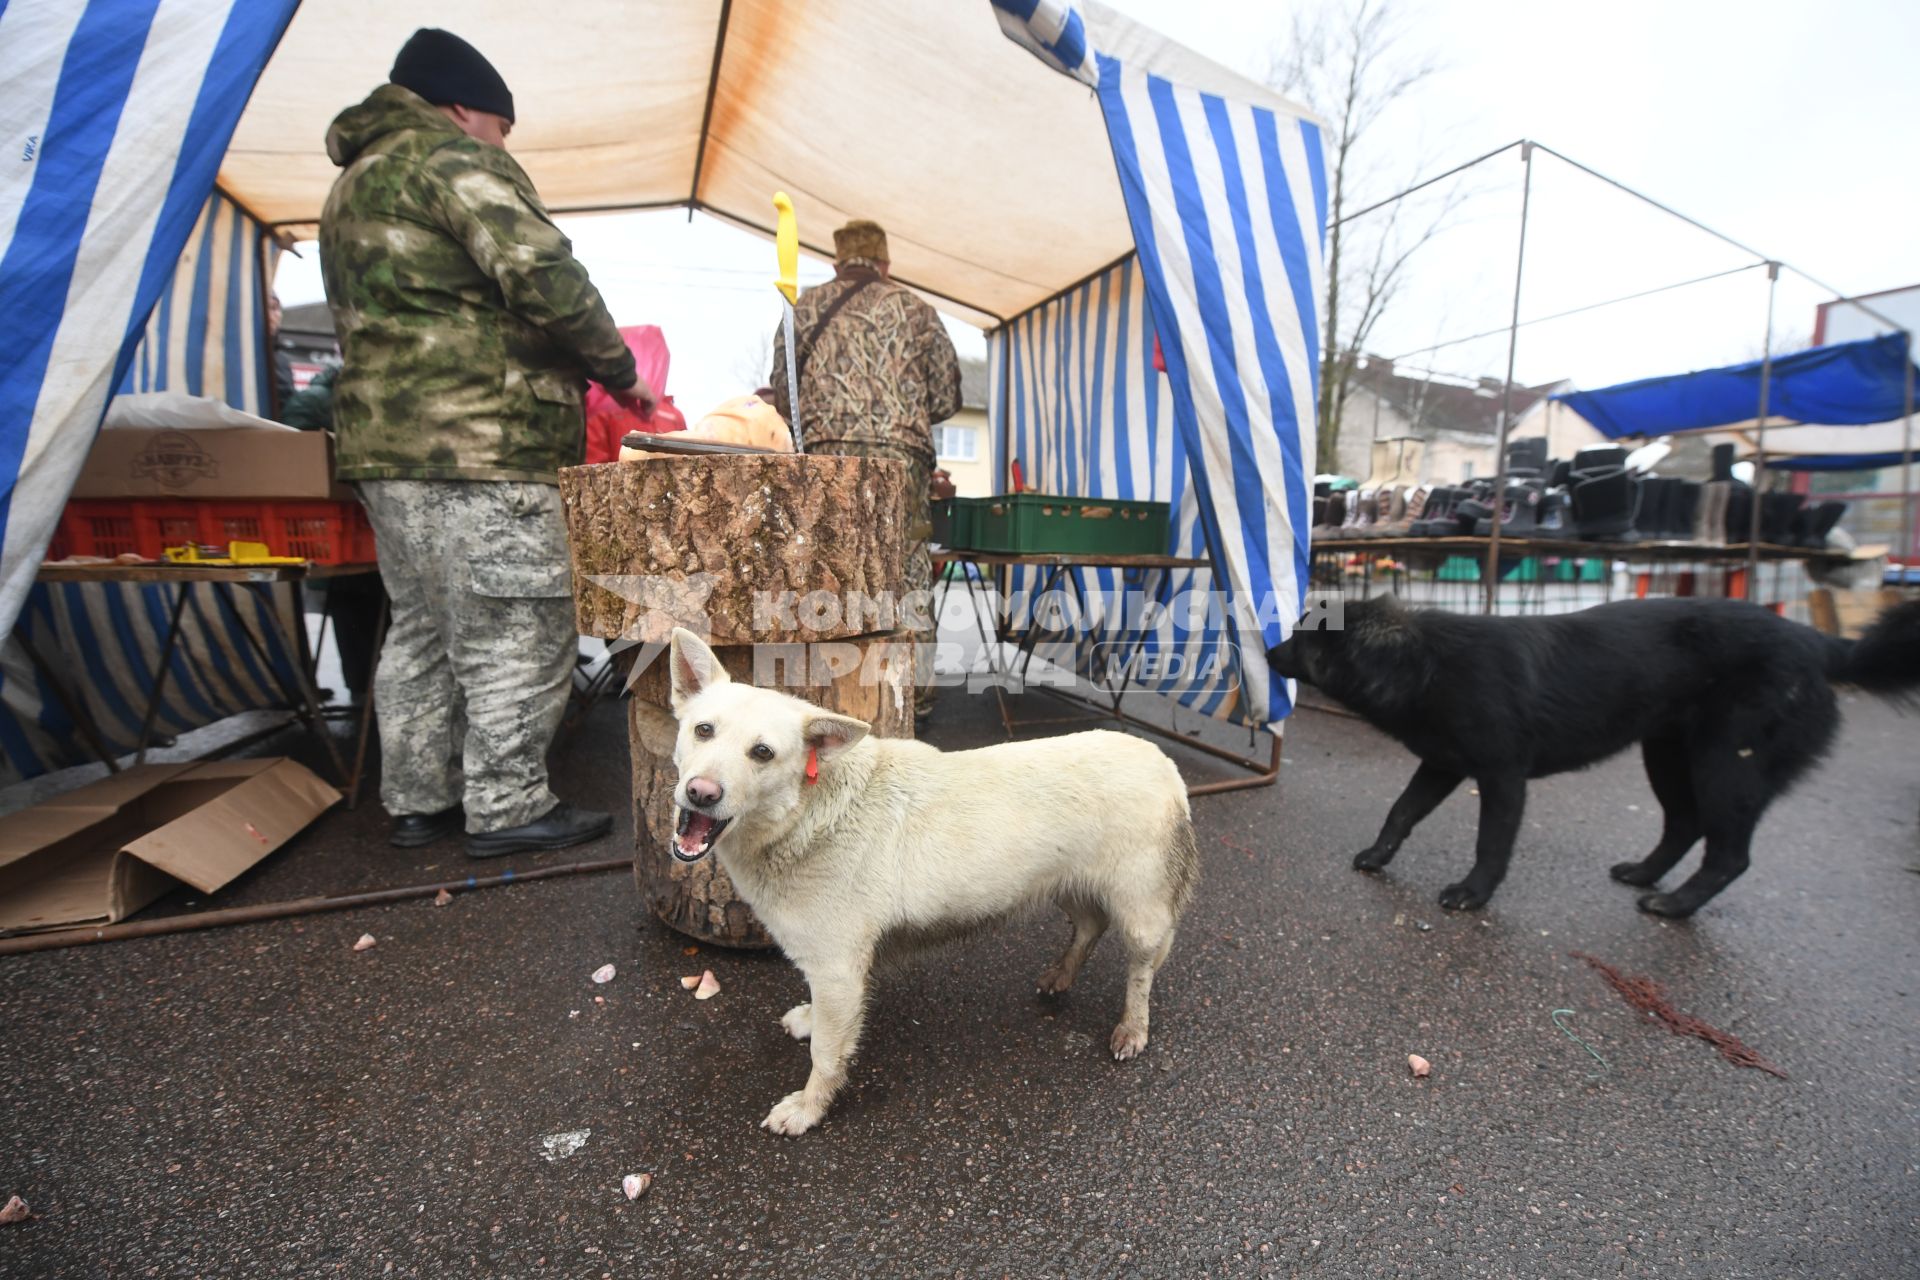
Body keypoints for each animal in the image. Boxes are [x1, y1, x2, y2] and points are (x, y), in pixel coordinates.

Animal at [664, 625, 1198, 1136]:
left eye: (762, 753)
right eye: (704, 730)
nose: (701, 793)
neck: (803, 817)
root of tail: (1165, 764)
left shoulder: (838, 969)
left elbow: (827, 1056)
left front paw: (809, 1110)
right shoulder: (834, 972)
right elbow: (825, 1022)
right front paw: (812, 1024)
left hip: (1140, 915)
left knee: (1140, 971)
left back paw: (1132, 1029)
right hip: (1063, 884)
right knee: (1089, 926)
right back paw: (1061, 976)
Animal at [1259, 594, 1920, 917]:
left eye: (1303, 637)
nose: (1265, 652)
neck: (1424, 664)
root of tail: (1820, 642)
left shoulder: (1502, 777)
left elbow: (1490, 843)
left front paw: (1473, 894)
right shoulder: (1444, 763)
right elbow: (1401, 810)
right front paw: (1377, 856)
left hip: (1727, 763)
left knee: (1729, 853)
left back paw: (1674, 905)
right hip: (1667, 755)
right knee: (1683, 824)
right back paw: (1645, 876)